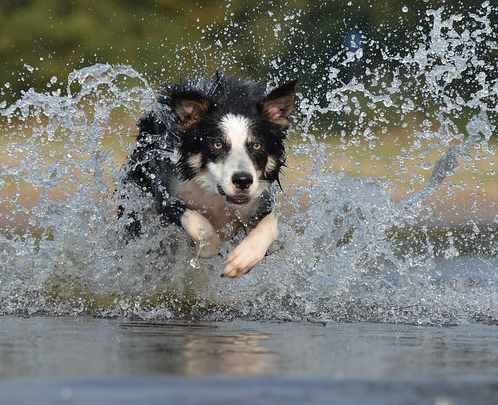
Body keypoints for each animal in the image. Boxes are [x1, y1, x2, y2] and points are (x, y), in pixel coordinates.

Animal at [120, 72, 296, 276]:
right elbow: (198, 223)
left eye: (257, 145)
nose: (243, 180)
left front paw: (243, 258)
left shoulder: (260, 201)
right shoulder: (164, 192)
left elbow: (271, 223)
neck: (215, 195)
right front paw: (207, 248)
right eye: (217, 144)